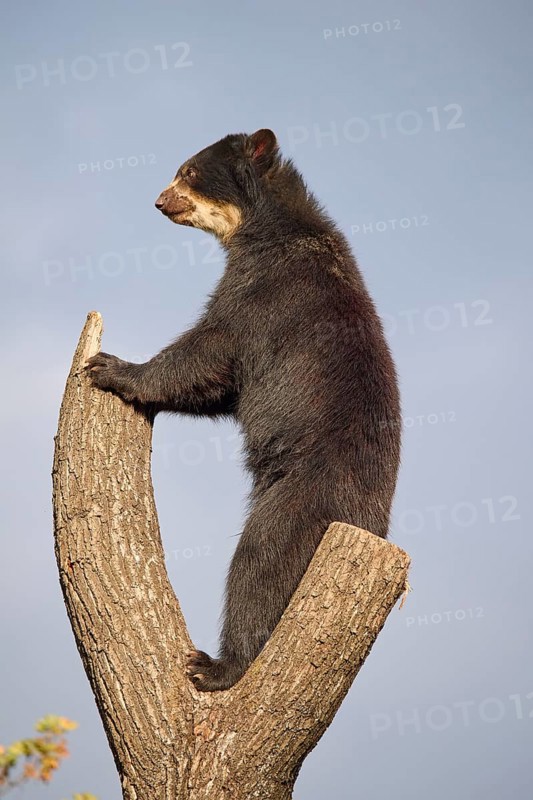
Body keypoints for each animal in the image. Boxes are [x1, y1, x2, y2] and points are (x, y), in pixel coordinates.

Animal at [86, 129, 401, 691]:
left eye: (188, 171)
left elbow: (211, 348)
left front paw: (113, 367)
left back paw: (216, 665)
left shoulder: (266, 291)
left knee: (260, 564)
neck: (266, 226)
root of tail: (372, 526)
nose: (159, 201)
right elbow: (219, 388)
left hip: (302, 498)